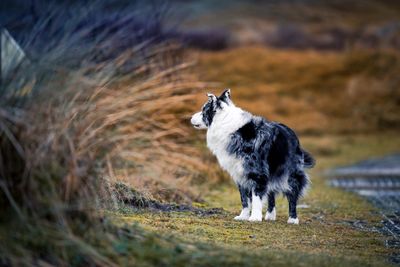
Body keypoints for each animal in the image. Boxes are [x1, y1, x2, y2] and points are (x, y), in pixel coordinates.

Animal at [191, 89, 316, 224]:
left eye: (203, 110)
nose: (190, 118)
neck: (226, 125)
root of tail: (292, 133)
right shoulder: (240, 173)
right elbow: (244, 199)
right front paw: (243, 216)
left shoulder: (257, 173)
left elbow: (256, 197)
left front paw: (255, 217)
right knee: (271, 193)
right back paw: (270, 215)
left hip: (291, 173)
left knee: (292, 194)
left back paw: (293, 219)